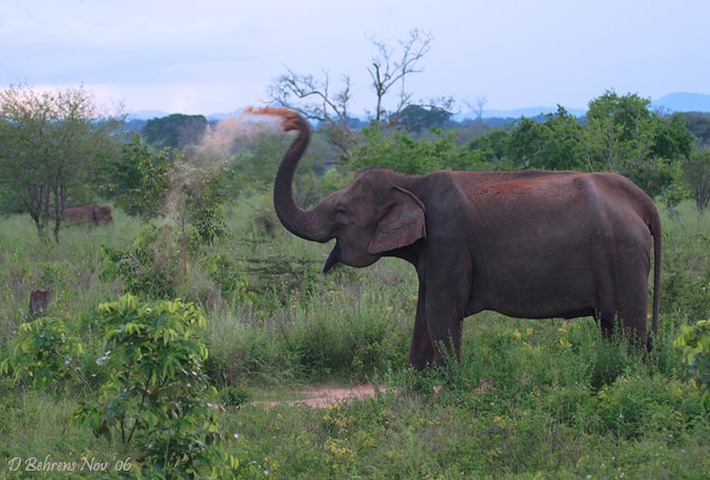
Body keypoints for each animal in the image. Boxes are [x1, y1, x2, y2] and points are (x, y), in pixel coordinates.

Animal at [253, 107, 664, 370]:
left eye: (340, 212)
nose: (288, 121)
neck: (411, 181)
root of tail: (642, 201)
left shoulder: (449, 244)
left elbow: (441, 314)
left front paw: (448, 393)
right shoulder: (432, 253)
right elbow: (424, 314)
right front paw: (413, 394)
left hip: (623, 257)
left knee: (628, 328)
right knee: (612, 328)